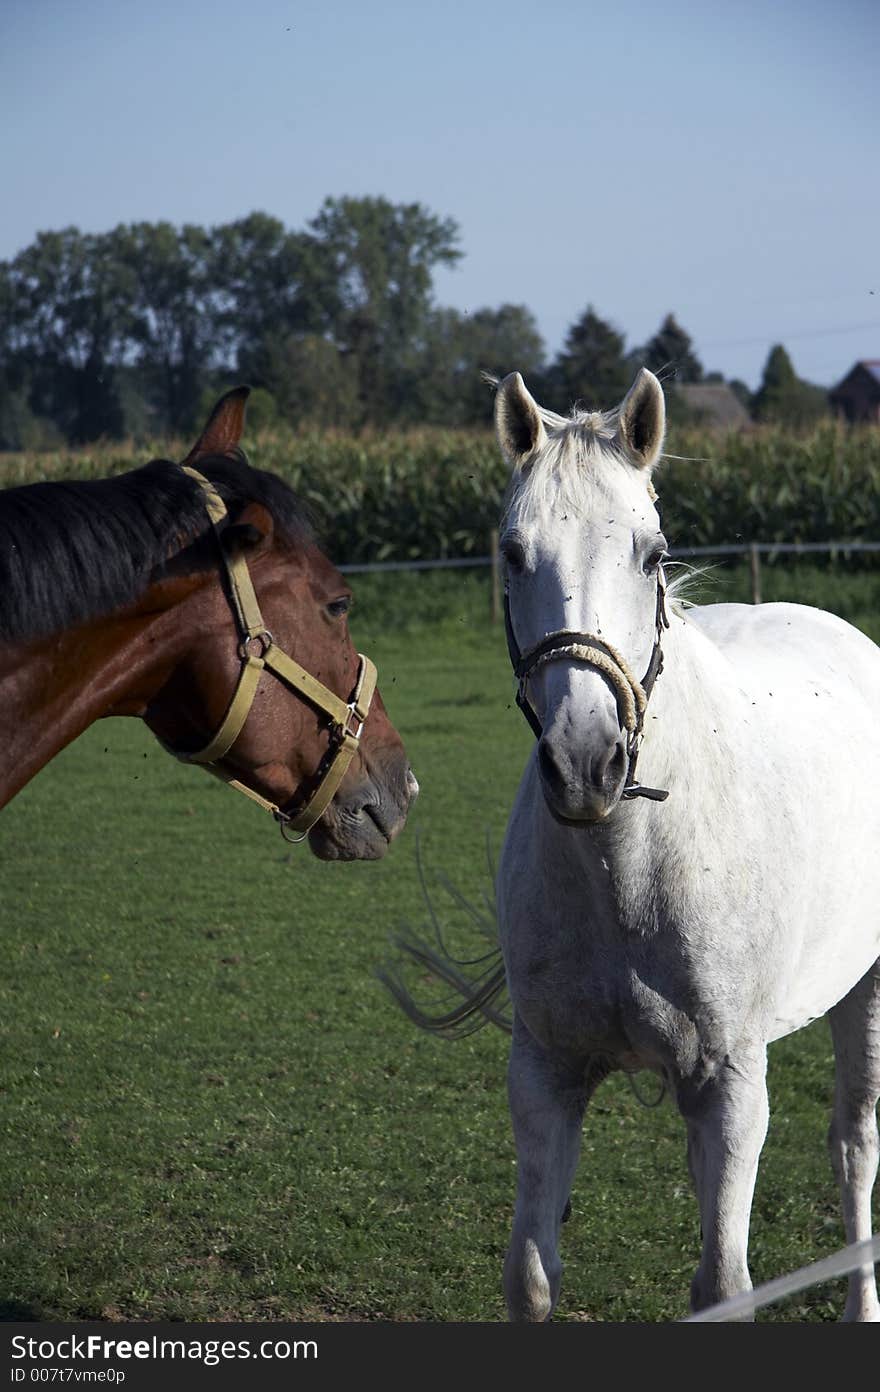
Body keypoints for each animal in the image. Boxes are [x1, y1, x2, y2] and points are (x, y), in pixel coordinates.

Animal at [495, 364, 880, 1319]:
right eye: (513, 554)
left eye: (651, 553)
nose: (585, 761)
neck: (629, 866)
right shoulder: (546, 1073)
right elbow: (530, 1277)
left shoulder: (728, 1086)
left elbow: (723, 1286)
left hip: (866, 989)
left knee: (855, 1147)